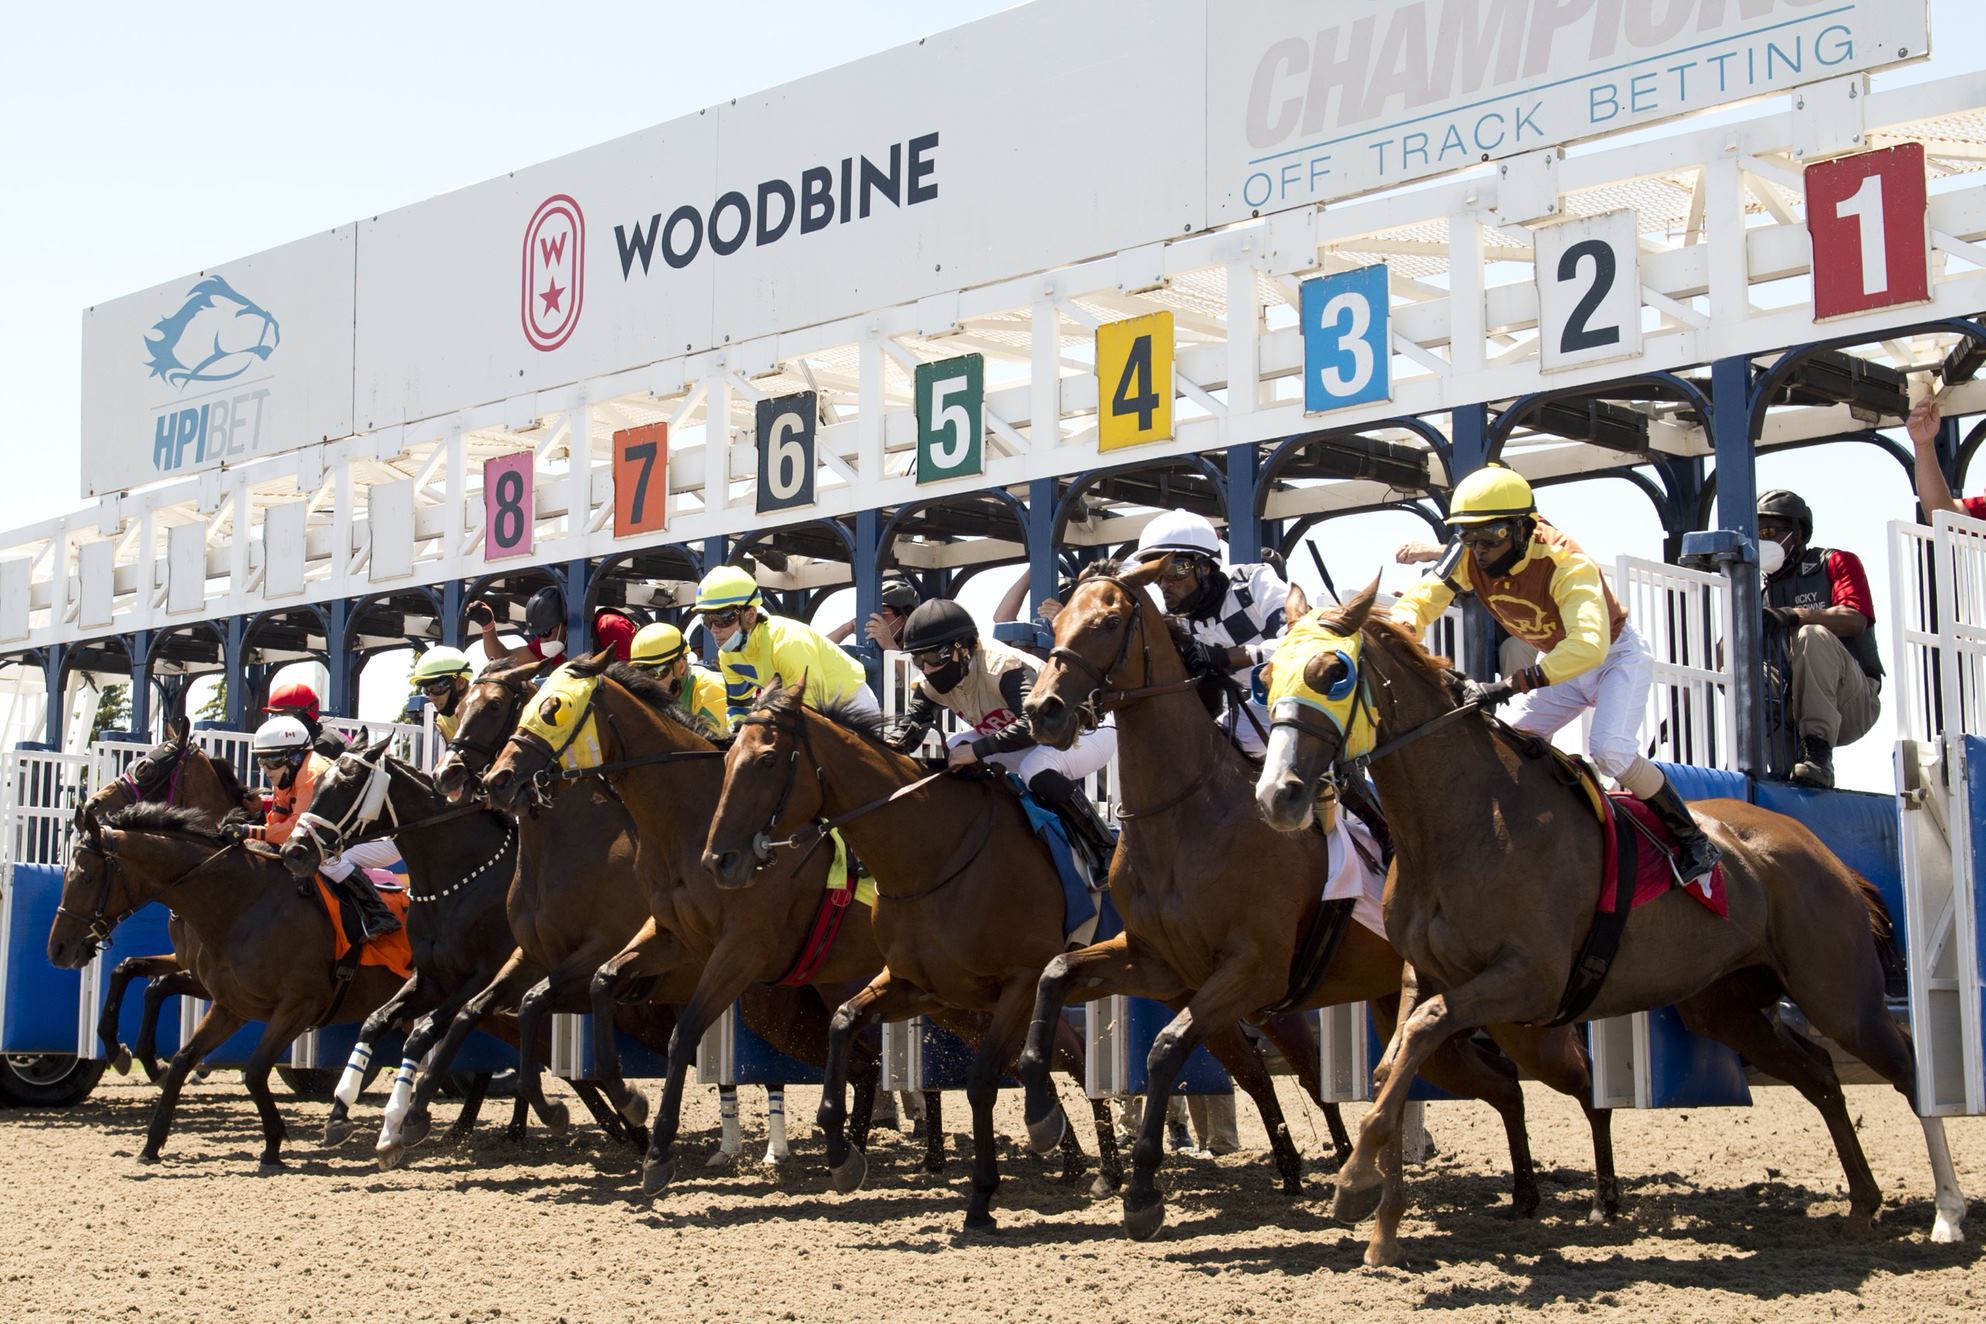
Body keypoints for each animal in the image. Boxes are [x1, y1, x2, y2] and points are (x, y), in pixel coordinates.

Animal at [50, 801, 403, 1167]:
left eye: (86, 878)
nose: (58, 948)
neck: (244, 903)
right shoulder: (232, 1003)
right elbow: (175, 1042)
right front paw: (151, 1138)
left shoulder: (299, 1006)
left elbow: (255, 1069)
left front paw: (273, 1144)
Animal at [1016, 555, 1604, 1254]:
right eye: (1056, 622)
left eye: (1107, 620)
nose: (1044, 710)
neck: (1188, 812)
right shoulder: (1156, 961)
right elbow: (1053, 976)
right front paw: (1042, 1115)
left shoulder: (1253, 970)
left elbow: (1166, 1048)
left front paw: (1142, 1194)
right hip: (1422, 1007)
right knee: (1503, 1085)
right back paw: (1518, 1193)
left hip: (1520, 1004)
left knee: (1572, 1080)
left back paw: (1599, 1197)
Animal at [1255, 583, 1970, 1262]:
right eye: (1266, 677)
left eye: (1333, 672)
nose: (1277, 796)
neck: (1464, 821)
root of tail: (1825, 854)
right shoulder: (1425, 976)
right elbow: (1394, 1065)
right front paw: (1383, 1226)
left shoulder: (1529, 980)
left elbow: (1424, 1033)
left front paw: (1354, 1185)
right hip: (1728, 1006)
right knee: (1820, 1074)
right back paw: (1862, 1204)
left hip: (1838, 992)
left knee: (1906, 1071)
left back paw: (1947, 1213)